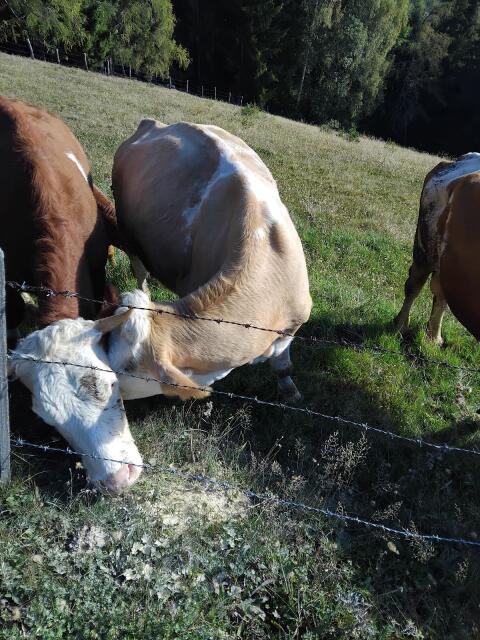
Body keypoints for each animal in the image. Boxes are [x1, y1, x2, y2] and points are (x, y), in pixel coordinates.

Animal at [108, 120, 312, 402]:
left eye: (128, 366)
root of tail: (154, 123)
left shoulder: (293, 326)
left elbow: (283, 366)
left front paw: (292, 393)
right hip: (127, 231)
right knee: (139, 270)